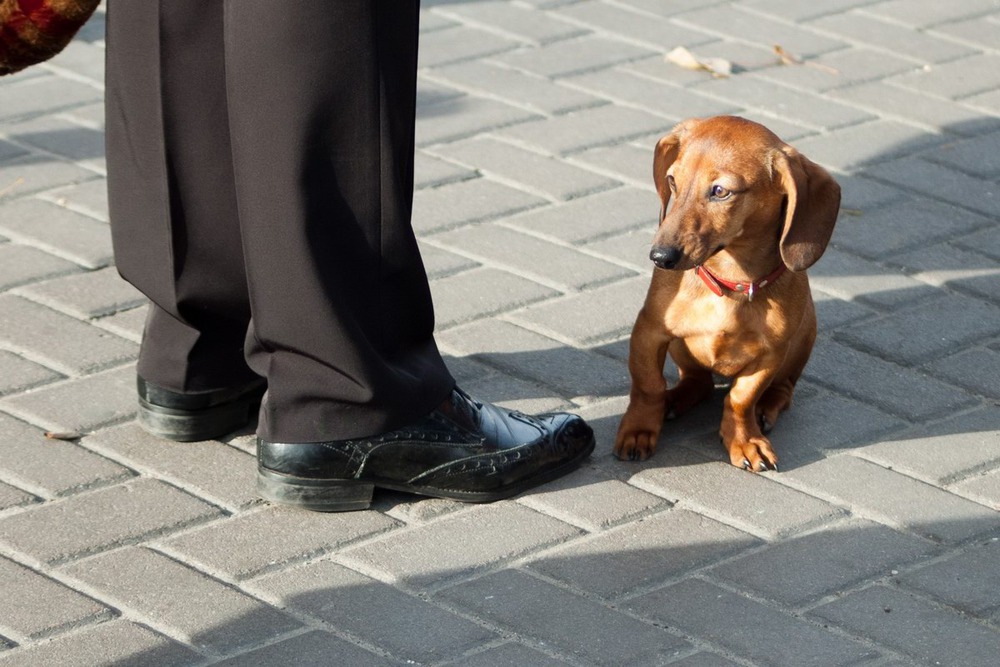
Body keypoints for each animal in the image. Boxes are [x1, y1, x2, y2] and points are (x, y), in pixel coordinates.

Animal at [612, 117, 840, 472]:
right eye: (672, 181)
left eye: (720, 191)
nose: (660, 257)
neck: (729, 282)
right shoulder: (649, 331)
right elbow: (648, 386)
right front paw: (638, 431)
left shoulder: (769, 355)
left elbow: (741, 399)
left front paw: (744, 440)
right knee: (698, 381)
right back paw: (673, 400)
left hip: (802, 339)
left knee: (781, 389)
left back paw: (766, 408)